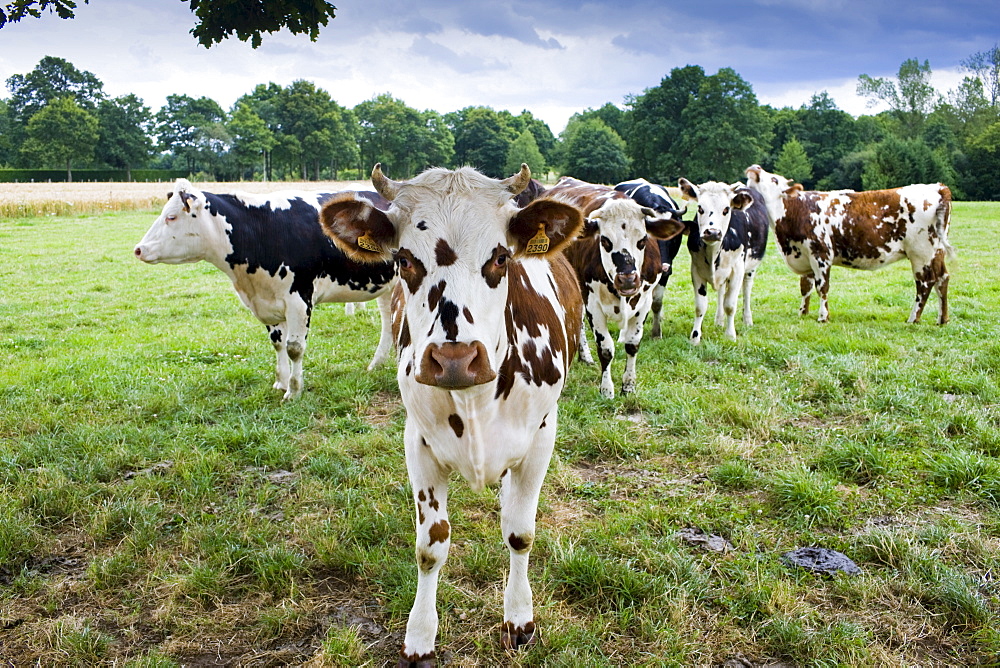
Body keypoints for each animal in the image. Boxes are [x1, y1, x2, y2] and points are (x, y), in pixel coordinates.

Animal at [132, 177, 394, 400]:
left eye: (172, 217)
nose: (138, 249)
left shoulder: (299, 299)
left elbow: (294, 348)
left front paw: (294, 391)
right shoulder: (267, 300)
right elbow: (278, 343)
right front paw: (281, 382)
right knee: (387, 321)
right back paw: (377, 363)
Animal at [320, 164, 584, 664]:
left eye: (501, 258)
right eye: (404, 260)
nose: (455, 358)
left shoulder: (542, 436)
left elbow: (520, 532)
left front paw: (519, 617)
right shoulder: (418, 442)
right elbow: (431, 546)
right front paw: (420, 635)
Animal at [548, 175, 688, 400]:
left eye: (643, 240)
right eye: (605, 241)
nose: (628, 279)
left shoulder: (644, 302)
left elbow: (632, 344)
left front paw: (629, 386)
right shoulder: (592, 303)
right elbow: (605, 348)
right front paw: (607, 389)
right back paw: (585, 354)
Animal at [752, 166, 952, 324]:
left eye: (774, 179)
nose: (755, 167)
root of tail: (937, 187)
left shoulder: (821, 254)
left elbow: (822, 287)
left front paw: (823, 317)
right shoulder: (804, 255)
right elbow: (805, 287)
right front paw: (803, 313)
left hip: (921, 253)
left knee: (925, 283)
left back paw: (913, 319)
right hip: (937, 251)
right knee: (942, 278)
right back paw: (942, 319)